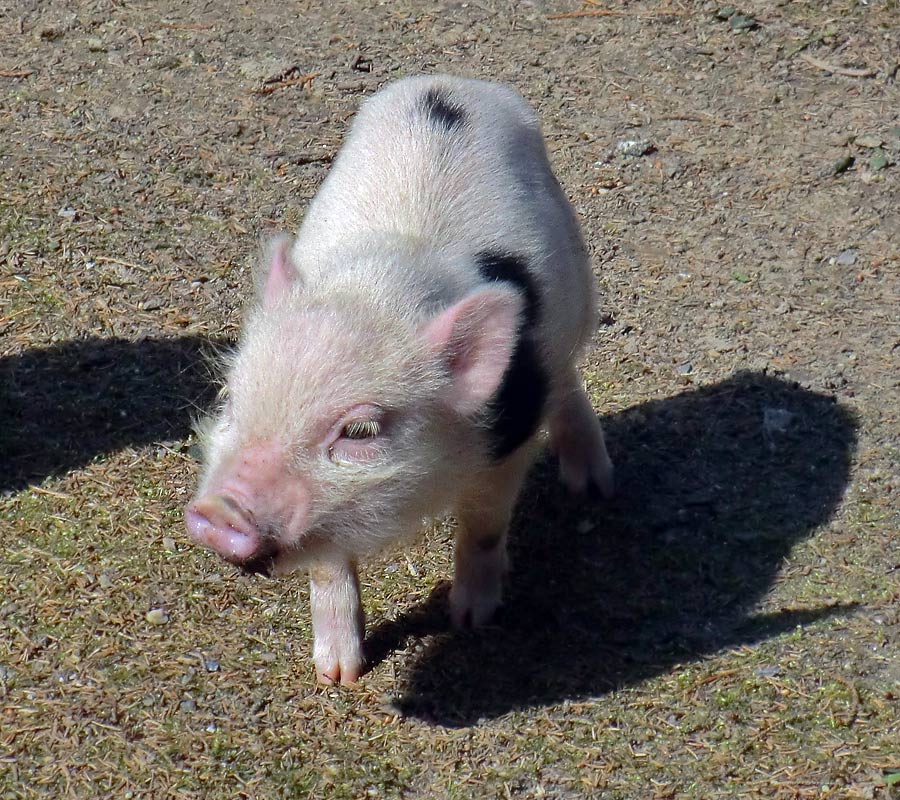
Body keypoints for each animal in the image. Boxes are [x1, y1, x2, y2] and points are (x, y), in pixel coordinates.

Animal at [186, 75, 616, 684]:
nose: (215, 515)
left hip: (575, 294)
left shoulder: (506, 444)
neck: (381, 290)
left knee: (569, 381)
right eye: (229, 398)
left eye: (360, 432)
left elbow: (484, 528)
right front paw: (337, 676)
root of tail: (450, 83)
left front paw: (471, 620)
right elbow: (327, 568)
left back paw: (594, 489)